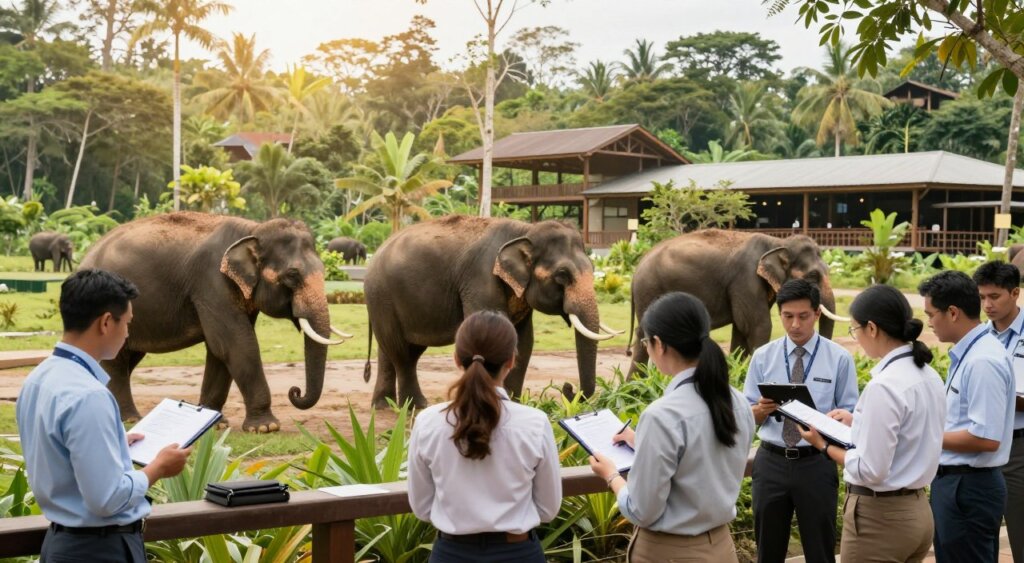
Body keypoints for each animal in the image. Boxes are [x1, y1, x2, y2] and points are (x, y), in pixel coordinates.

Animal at [80, 211, 352, 432]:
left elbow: (219, 350)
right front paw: (266, 427)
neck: (253, 229)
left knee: (129, 358)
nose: (295, 391)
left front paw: (213, 422)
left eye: (324, 271)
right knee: (116, 360)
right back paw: (130, 419)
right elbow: (235, 344)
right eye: (292, 276)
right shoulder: (212, 283)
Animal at [362, 216, 621, 409]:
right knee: (402, 353)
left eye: (594, 269)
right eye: (562, 275)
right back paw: (414, 406)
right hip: (381, 296)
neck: (525, 230)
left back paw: (384, 405)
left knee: (393, 350)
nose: (568, 387)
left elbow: (523, 342)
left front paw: (515, 404)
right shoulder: (480, 279)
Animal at [627, 229, 841, 373]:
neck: (778, 242)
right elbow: (757, 325)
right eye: (813, 276)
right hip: (650, 289)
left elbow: (741, 327)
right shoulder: (746, 278)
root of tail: (636, 268)